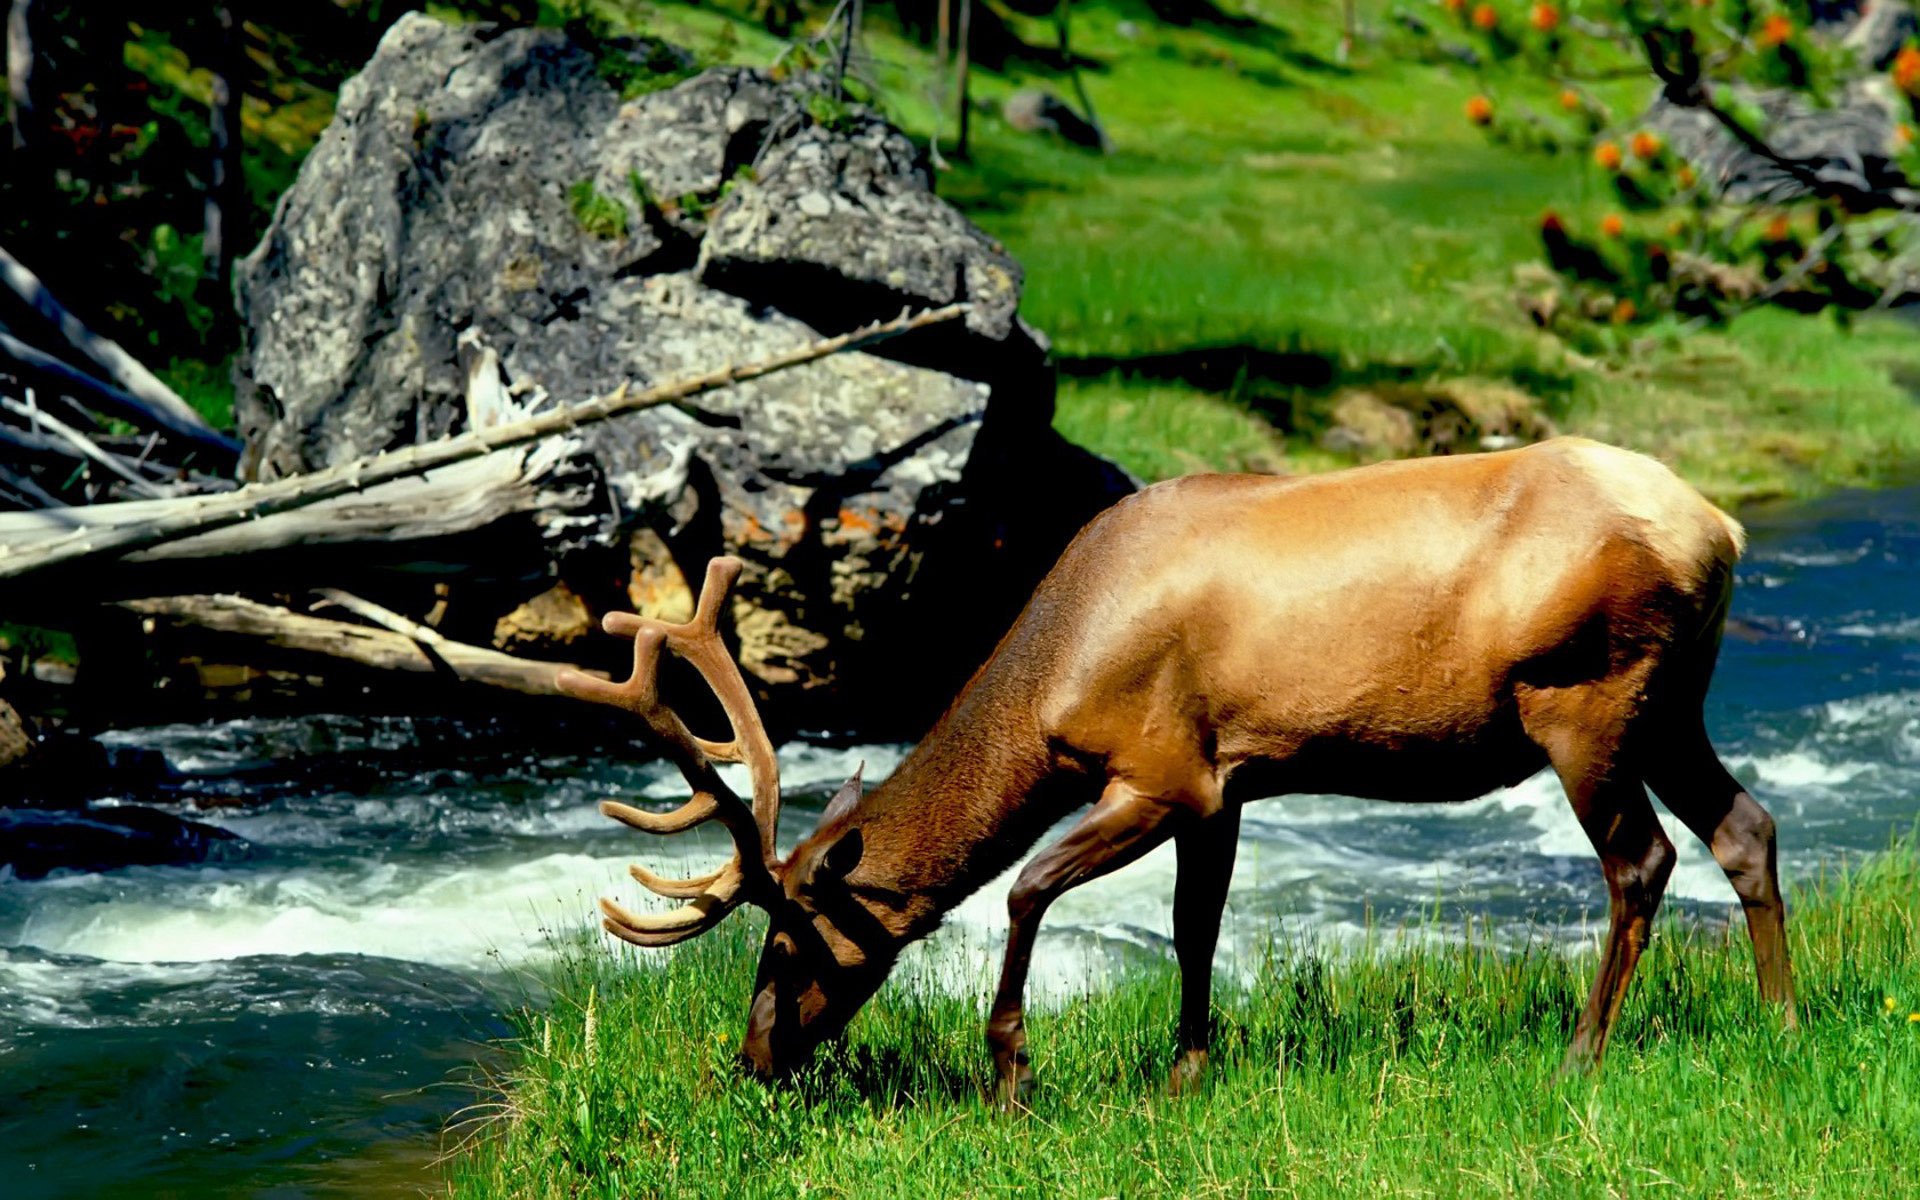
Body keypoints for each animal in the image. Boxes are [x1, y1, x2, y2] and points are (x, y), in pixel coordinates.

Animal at [555, 436, 1796, 1108]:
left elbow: (1024, 890)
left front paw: (1011, 1075)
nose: (753, 1057)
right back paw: (1784, 1016)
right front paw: (1187, 1071)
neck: (1053, 680)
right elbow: (1197, 926)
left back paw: (1584, 1052)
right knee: (1746, 827)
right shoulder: (1229, 780)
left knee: (1643, 860)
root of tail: (1719, 528)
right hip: (1670, 704)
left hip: (1588, 698)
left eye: (787, 944)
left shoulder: (1159, 772)